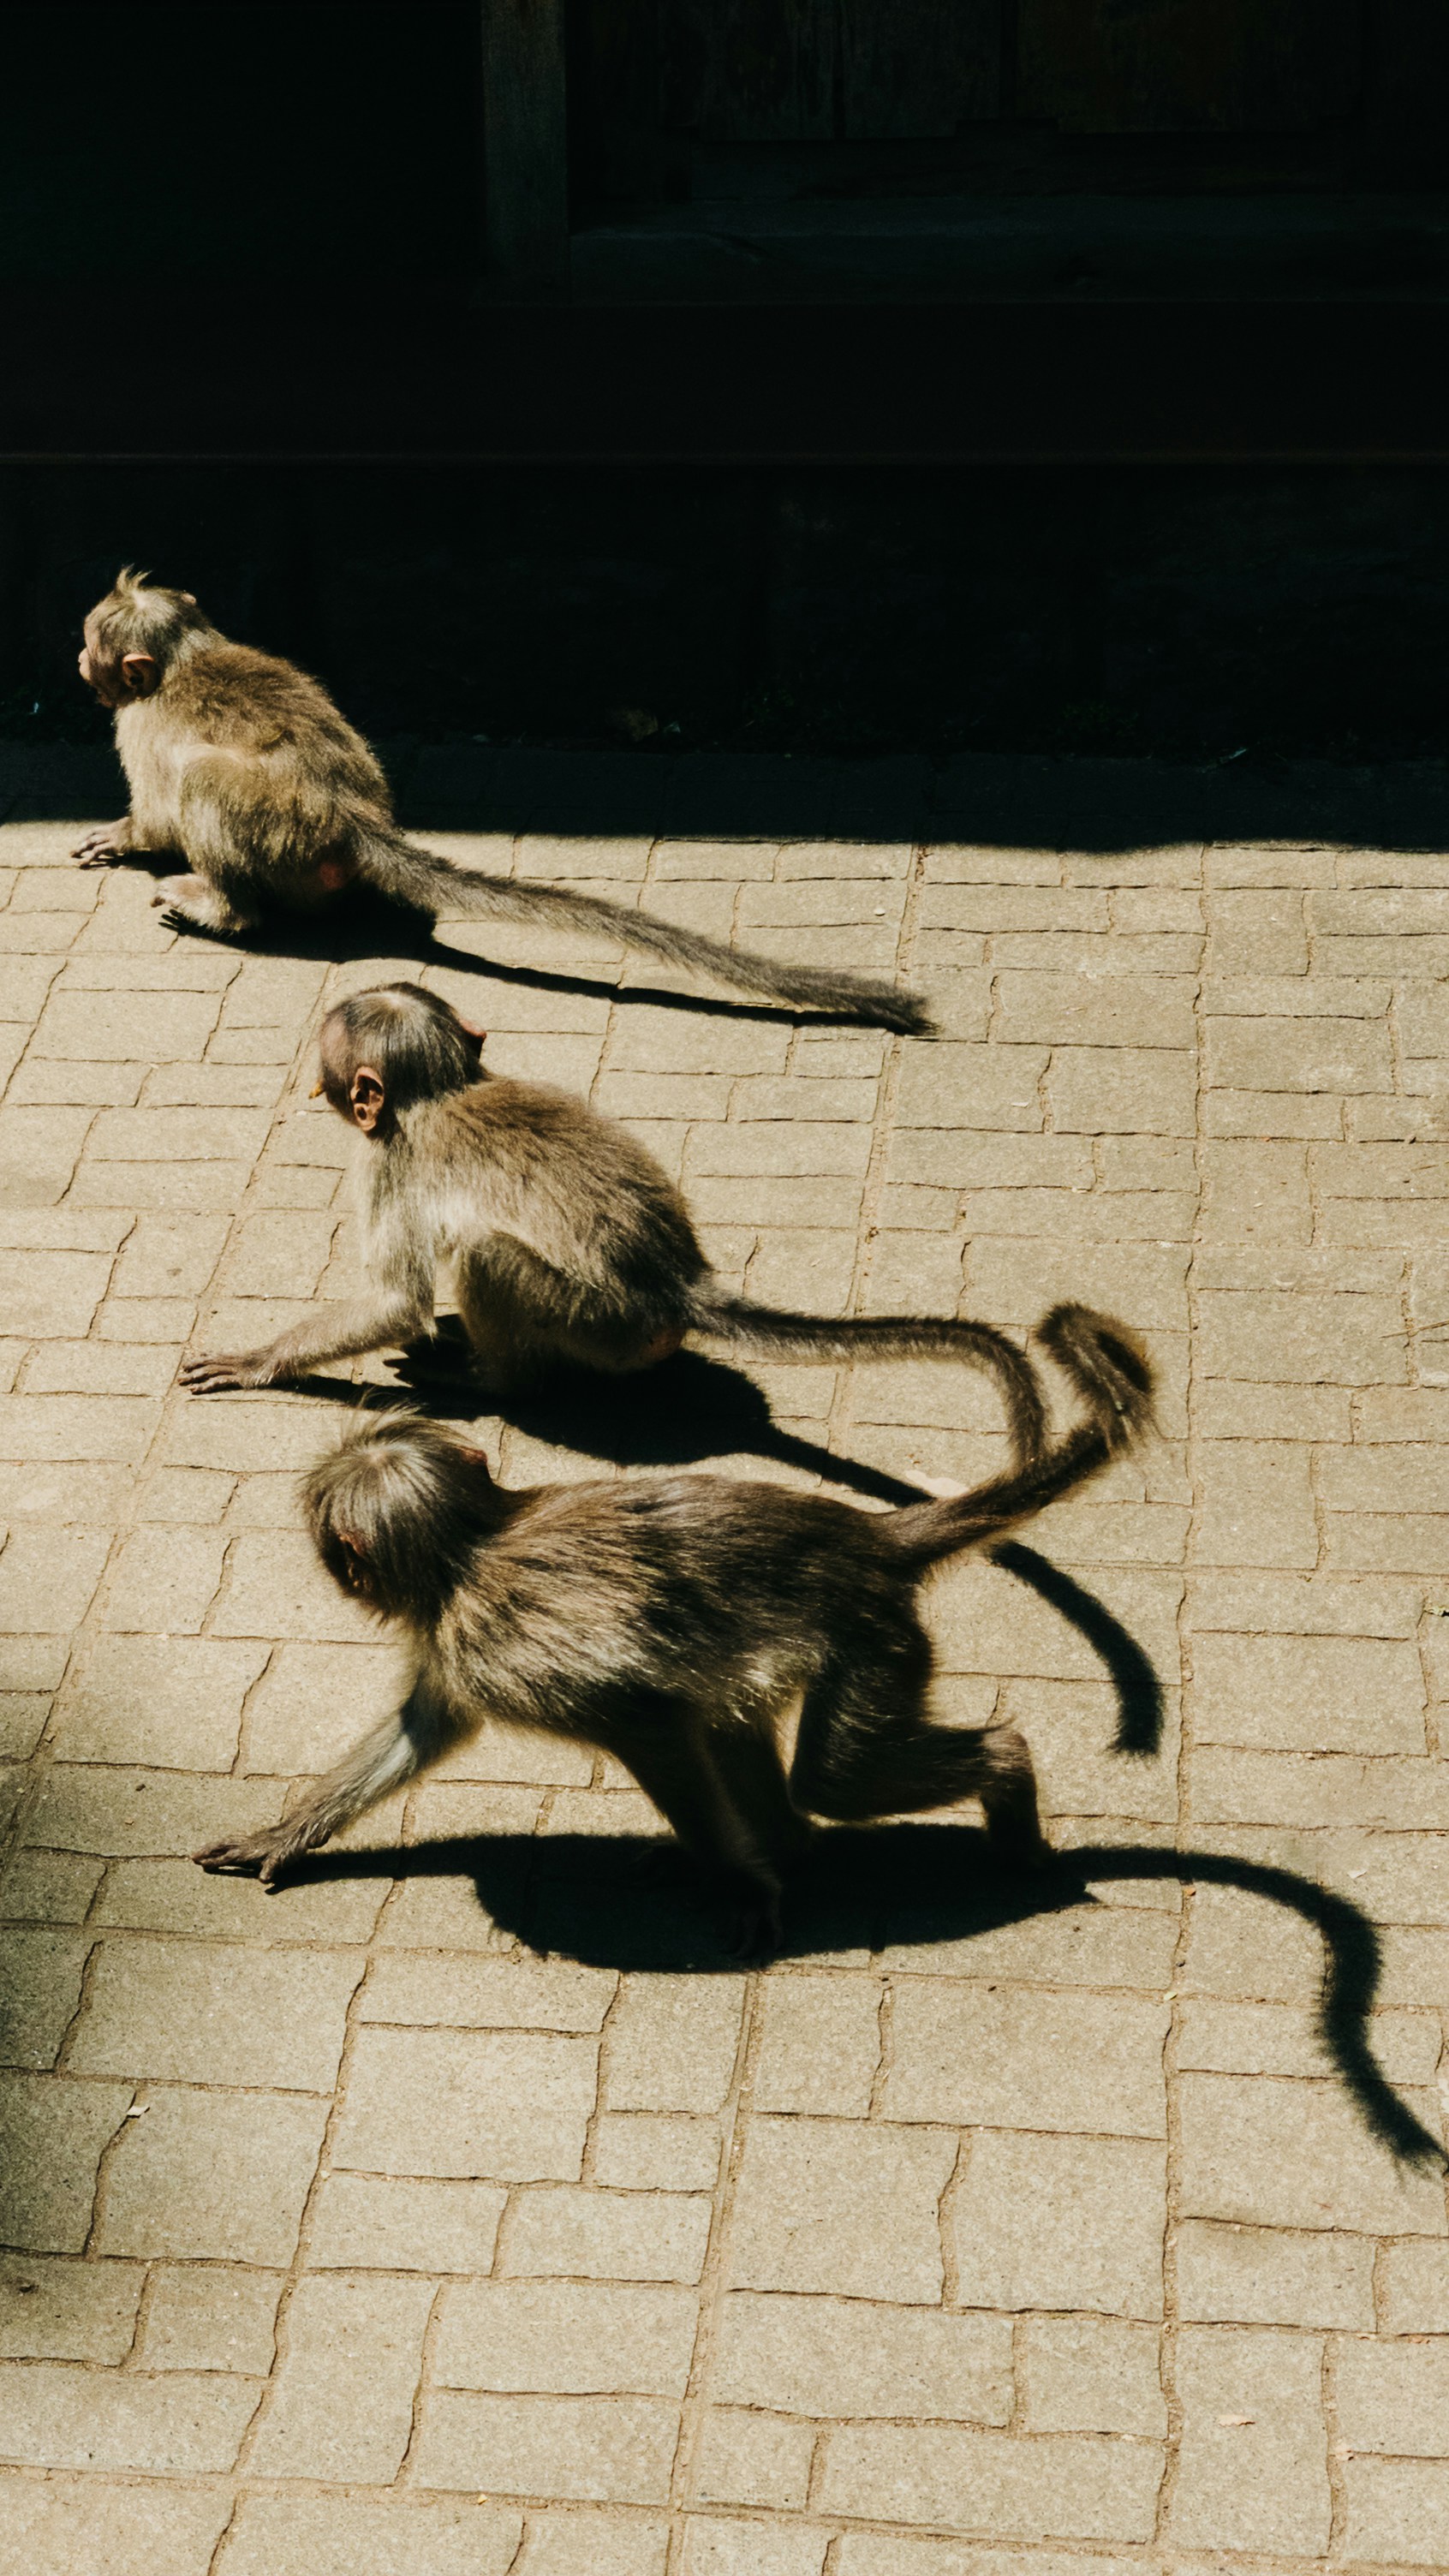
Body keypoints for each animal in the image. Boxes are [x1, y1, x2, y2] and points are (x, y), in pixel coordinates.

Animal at [72, 569, 930, 1034]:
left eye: (90, 645)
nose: (78, 662)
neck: (187, 657)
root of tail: (355, 821)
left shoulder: (140, 722)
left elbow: (160, 807)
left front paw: (126, 835)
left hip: (277, 837)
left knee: (203, 785)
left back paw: (224, 908)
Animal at [179, 981, 1048, 1459]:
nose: (309, 1083)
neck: (443, 1091)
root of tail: (679, 1285)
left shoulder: (384, 1162)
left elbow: (398, 1302)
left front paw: (261, 1361)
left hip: (604, 1326)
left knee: (486, 1255)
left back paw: (500, 1381)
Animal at [191, 1301, 1154, 1949]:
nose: (332, 1571)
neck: (475, 1542)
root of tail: (867, 1534)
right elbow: (427, 1728)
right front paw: (291, 1833)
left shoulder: (490, 1642)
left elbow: (647, 1722)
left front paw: (742, 1888)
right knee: (741, 1721)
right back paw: (783, 1847)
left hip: (872, 1636)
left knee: (833, 1777)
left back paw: (995, 1780)